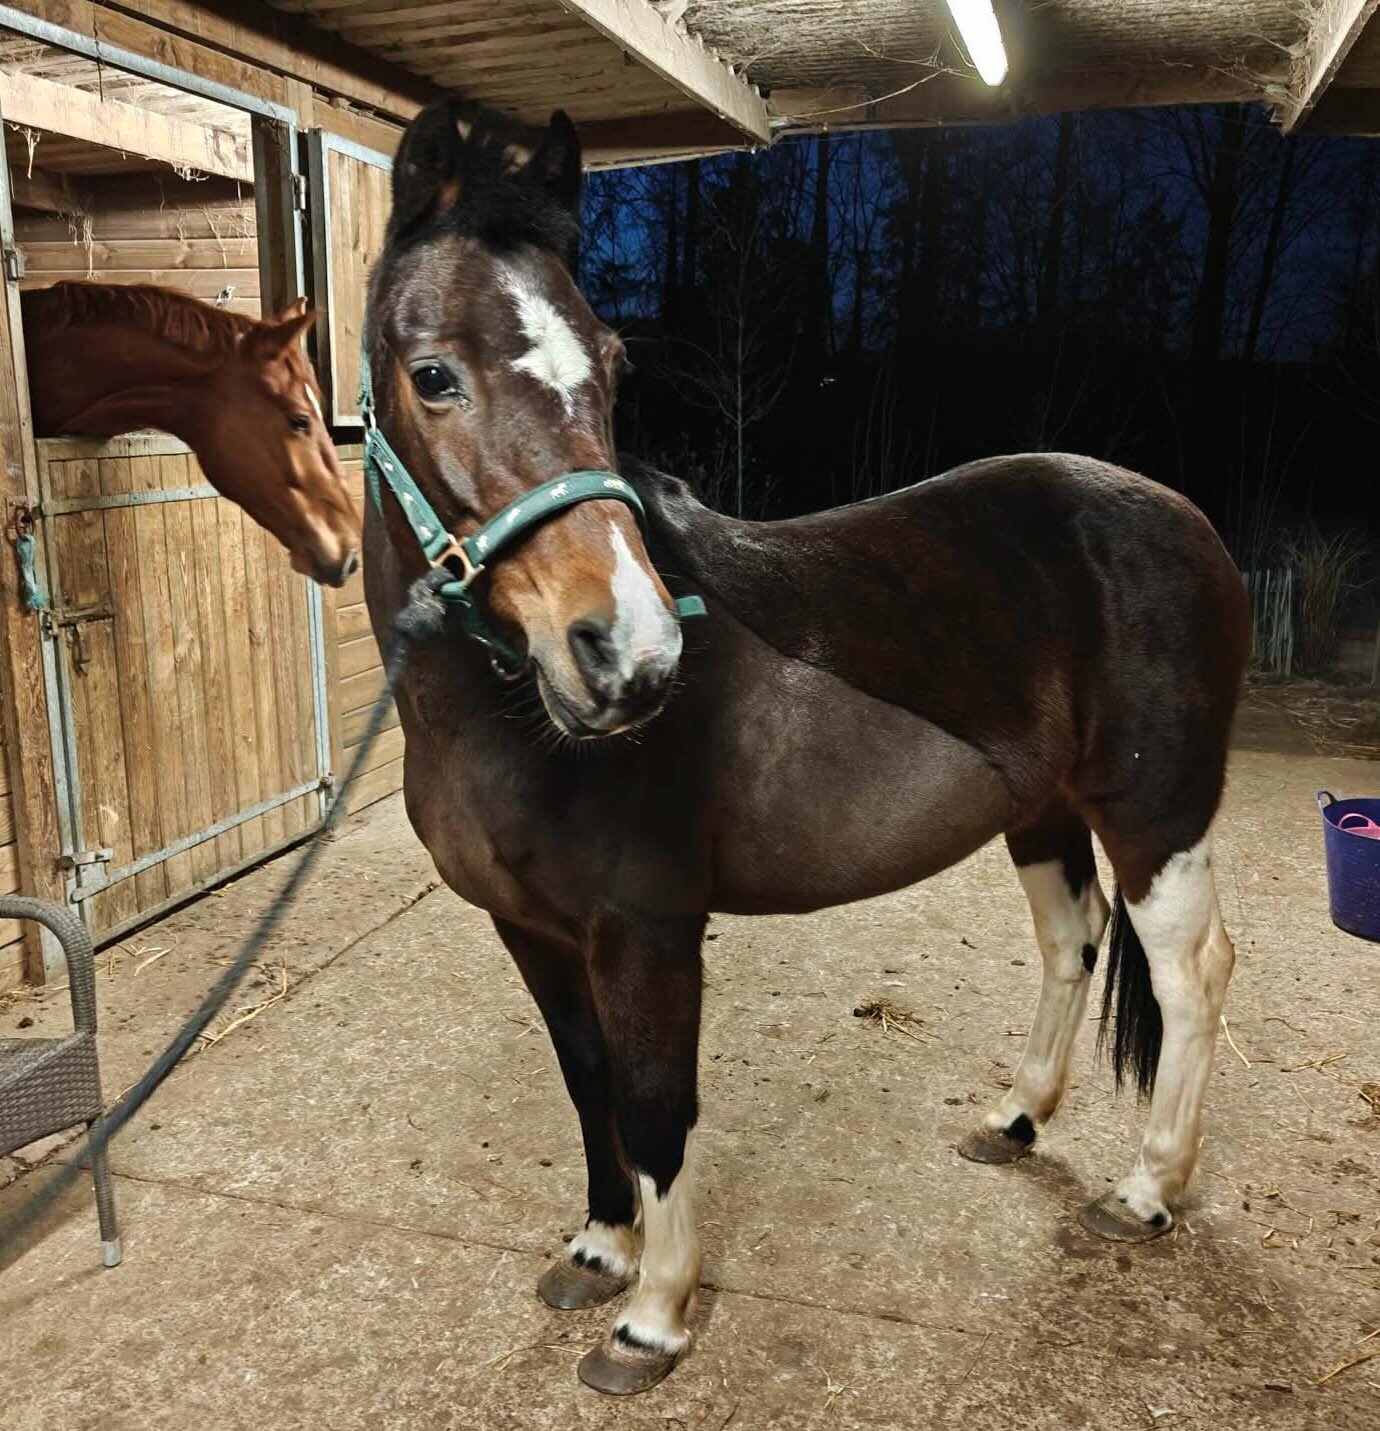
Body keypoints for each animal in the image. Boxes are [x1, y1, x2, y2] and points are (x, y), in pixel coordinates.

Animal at [363, 97, 1250, 1395]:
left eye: (614, 368)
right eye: (432, 375)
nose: (628, 654)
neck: (504, 721)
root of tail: (1186, 523)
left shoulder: (647, 931)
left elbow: (655, 1106)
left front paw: (654, 1317)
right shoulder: (528, 931)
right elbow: (587, 1084)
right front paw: (598, 1252)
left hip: (1156, 816)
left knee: (1191, 976)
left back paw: (1144, 1191)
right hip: (1040, 812)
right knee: (1071, 943)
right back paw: (1016, 1120)